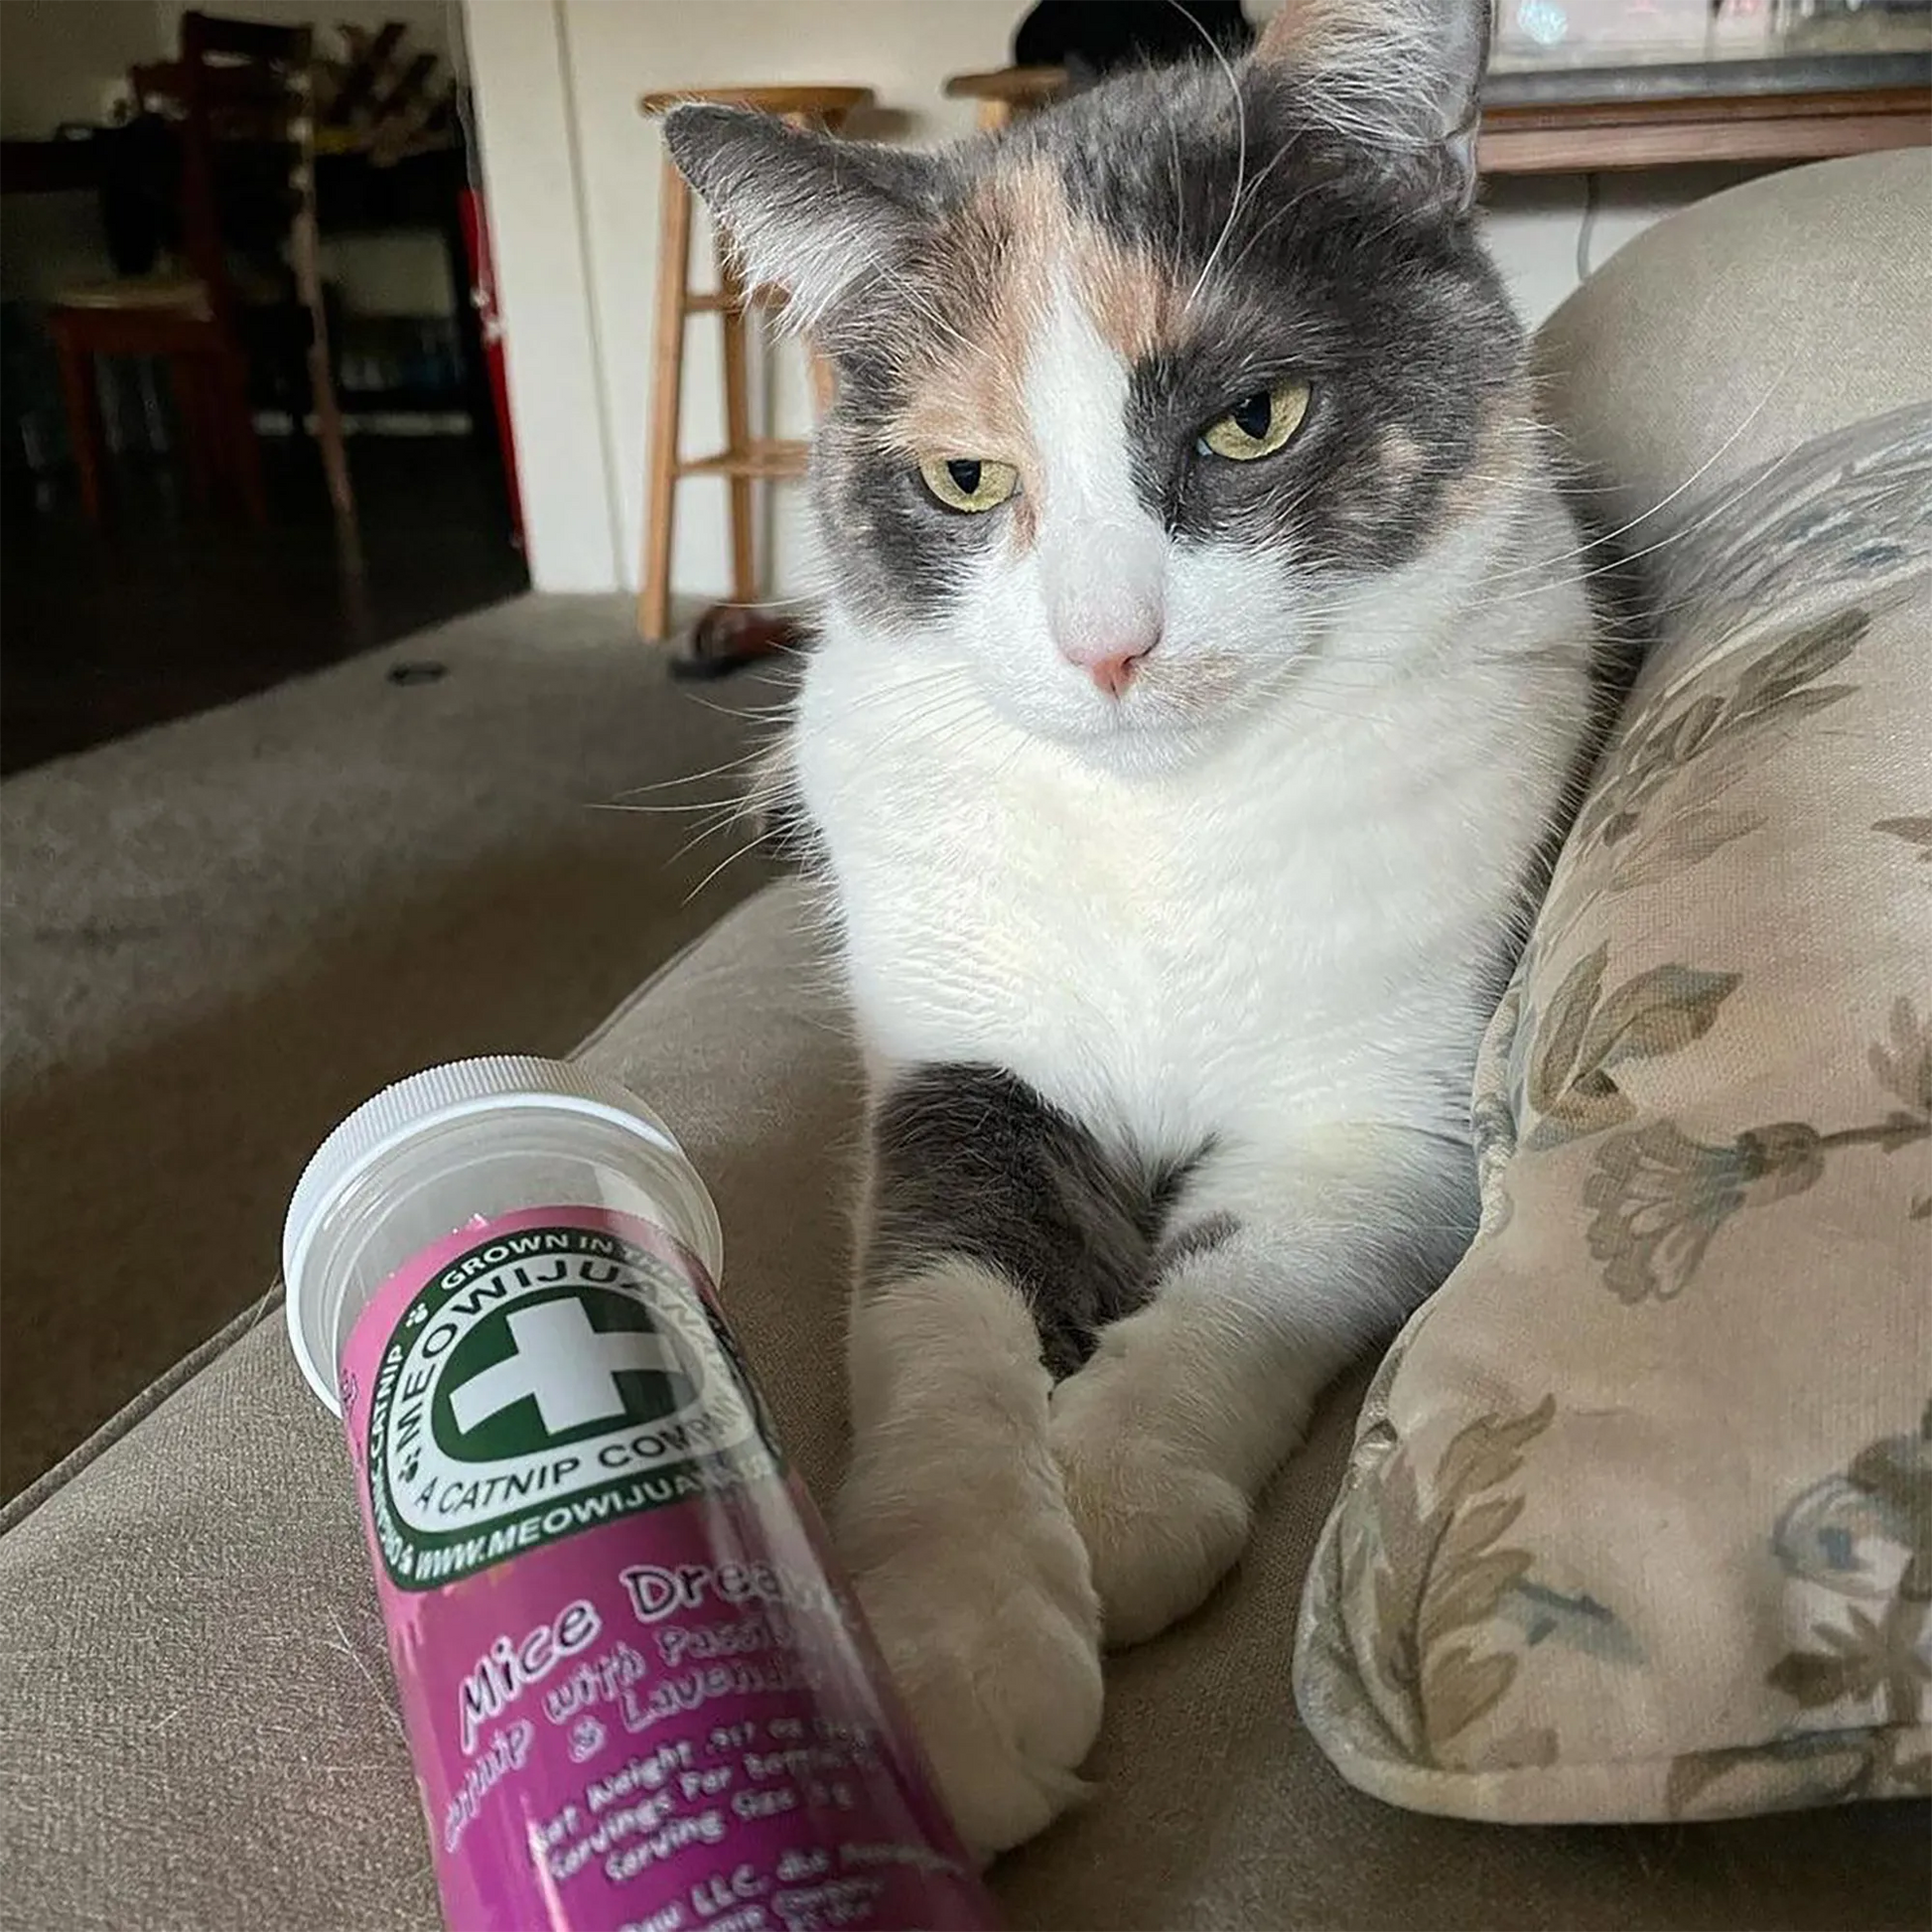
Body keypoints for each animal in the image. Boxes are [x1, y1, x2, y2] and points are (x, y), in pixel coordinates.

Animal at [664, 0, 1599, 1855]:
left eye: (1253, 419)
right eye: (965, 477)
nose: (1108, 646)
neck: (1164, 833)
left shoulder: (1387, 1115)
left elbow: (1266, 1271)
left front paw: (1115, 1488)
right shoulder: (960, 1059)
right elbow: (939, 1311)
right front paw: (956, 1658)